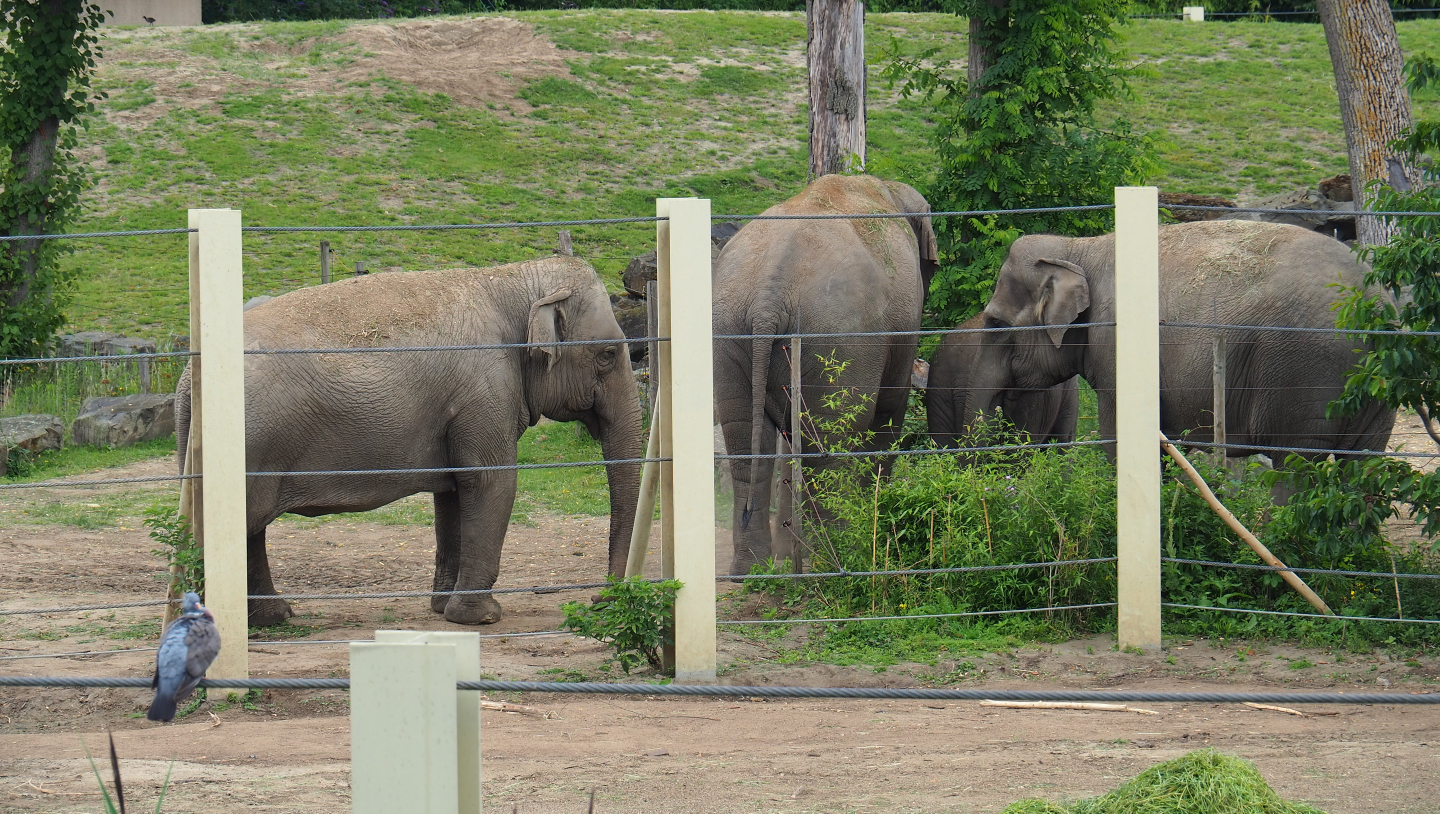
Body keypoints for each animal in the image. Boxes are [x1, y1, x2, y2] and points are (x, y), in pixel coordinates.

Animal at [175, 256, 642, 626]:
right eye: (607, 355)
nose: (599, 598)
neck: (512, 278)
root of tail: (185, 376)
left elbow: (453, 493)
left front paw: (442, 609)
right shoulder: (483, 392)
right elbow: (491, 482)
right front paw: (481, 618)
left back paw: (272, 618)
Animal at [713, 174, 938, 575]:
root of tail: (769, 294)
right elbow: (890, 409)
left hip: (730, 329)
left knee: (744, 440)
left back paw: (750, 570)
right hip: (837, 337)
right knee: (827, 443)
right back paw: (836, 557)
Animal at [965, 219, 1395, 464]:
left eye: (996, 323)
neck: (1078, 248)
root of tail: (1376, 309)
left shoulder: (1118, 346)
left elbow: (1121, 440)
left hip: (1303, 373)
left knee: (1297, 465)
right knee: (1361, 469)